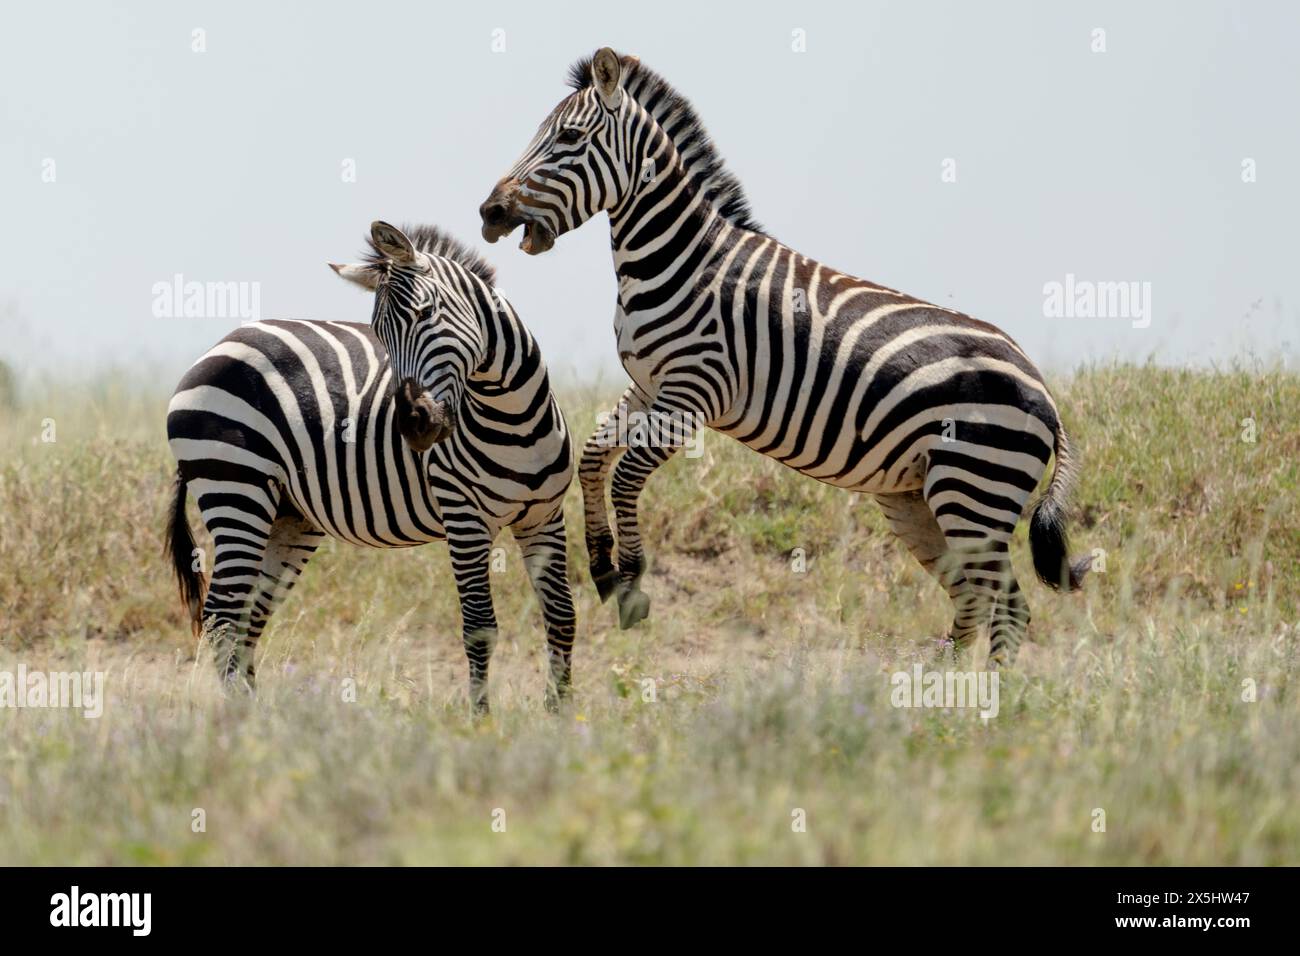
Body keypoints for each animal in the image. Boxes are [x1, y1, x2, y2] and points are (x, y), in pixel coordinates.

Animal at [167, 218, 574, 712]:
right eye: (379, 332)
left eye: (426, 314)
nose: (414, 426)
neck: (514, 416)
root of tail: (219, 346)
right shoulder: (464, 518)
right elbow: (479, 627)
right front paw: (482, 720)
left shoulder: (544, 516)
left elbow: (562, 616)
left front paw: (560, 714)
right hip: (235, 488)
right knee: (223, 615)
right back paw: (239, 716)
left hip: (289, 516)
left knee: (248, 614)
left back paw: (259, 714)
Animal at [478, 48, 1086, 671]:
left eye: (569, 138)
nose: (490, 212)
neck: (680, 260)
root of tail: (1043, 390)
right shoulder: (648, 386)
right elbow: (595, 458)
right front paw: (602, 564)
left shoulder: (694, 391)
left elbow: (624, 475)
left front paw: (631, 582)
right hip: (918, 498)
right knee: (974, 602)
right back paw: (944, 689)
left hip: (973, 489)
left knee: (1007, 606)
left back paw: (987, 696)